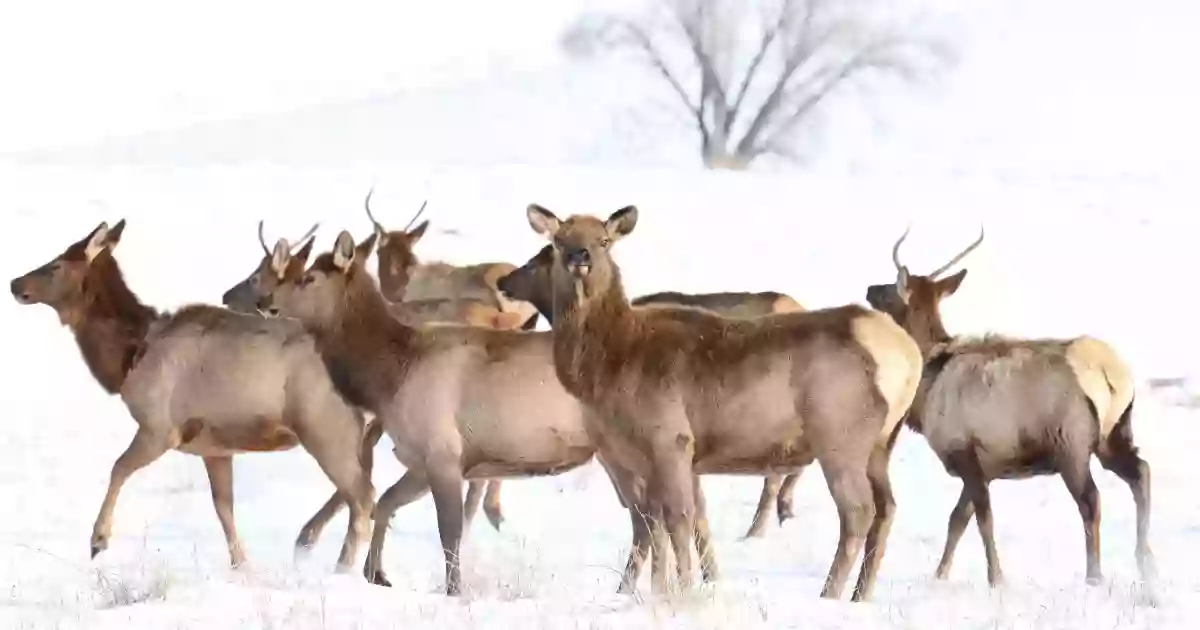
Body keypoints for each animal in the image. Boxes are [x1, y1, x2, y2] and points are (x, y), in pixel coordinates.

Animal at [8, 219, 374, 568]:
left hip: (325, 428)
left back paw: (342, 567)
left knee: (362, 496)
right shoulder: (214, 447)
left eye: (56, 264)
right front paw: (243, 566)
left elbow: (118, 468)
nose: (14, 284)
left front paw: (99, 539)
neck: (129, 359)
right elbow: (224, 507)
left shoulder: (160, 427)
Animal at [255, 231, 720, 595]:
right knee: (665, 517)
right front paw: (377, 574)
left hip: (626, 450)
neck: (389, 375)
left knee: (649, 519)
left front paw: (453, 589)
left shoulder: (443, 452)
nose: (266, 304)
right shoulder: (422, 460)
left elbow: (449, 530)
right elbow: (385, 504)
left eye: (308, 278)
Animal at [864, 224, 1152, 585]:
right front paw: (940, 575)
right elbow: (957, 520)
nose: (869, 289)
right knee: (1141, 472)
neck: (927, 386)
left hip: (1070, 441)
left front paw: (996, 579)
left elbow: (982, 519)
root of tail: (1109, 373)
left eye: (890, 289)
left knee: (1091, 500)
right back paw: (1147, 564)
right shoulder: (984, 465)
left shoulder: (966, 452)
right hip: (1114, 433)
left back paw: (1095, 576)